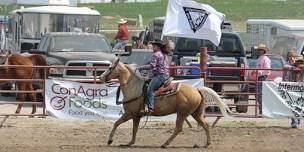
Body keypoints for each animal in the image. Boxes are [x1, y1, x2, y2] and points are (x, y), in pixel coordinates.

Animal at [99, 58, 230, 148]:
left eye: (110, 68)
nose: (100, 78)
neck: (133, 87)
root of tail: (197, 89)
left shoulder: (130, 113)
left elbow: (116, 123)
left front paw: (110, 140)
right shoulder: (136, 116)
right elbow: (134, 129)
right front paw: (130, 143)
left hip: (182, 113)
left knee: (178, 128)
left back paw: (165, 144)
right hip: (195, 113)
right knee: (205, 125)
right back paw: (207, 144)